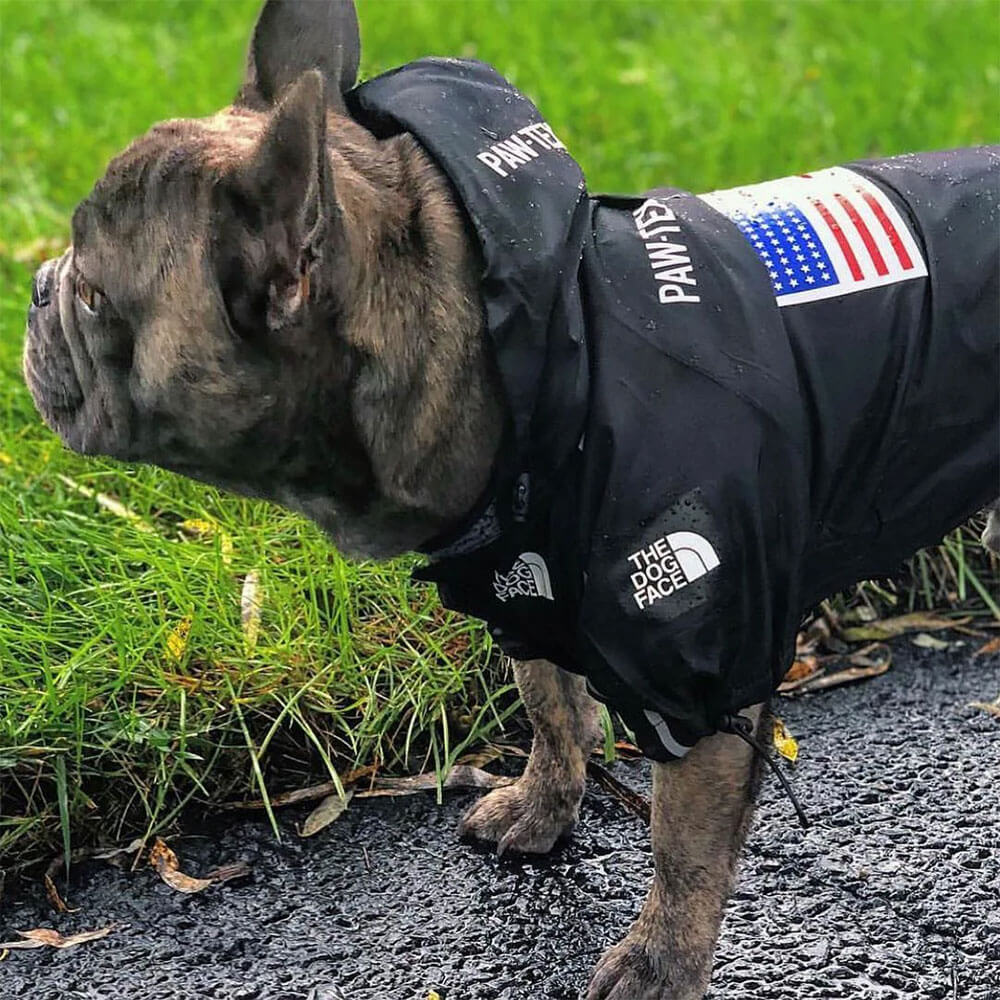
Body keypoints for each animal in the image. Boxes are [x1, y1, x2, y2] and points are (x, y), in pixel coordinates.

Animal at [21, 1, 1000, 1000]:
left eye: (95, 296)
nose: (37, 286)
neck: (536, 352)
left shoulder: (699, 671)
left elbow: (682, 847)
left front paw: (660, 961)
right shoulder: (523, 587)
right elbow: (552, 707)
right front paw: (545, 805)